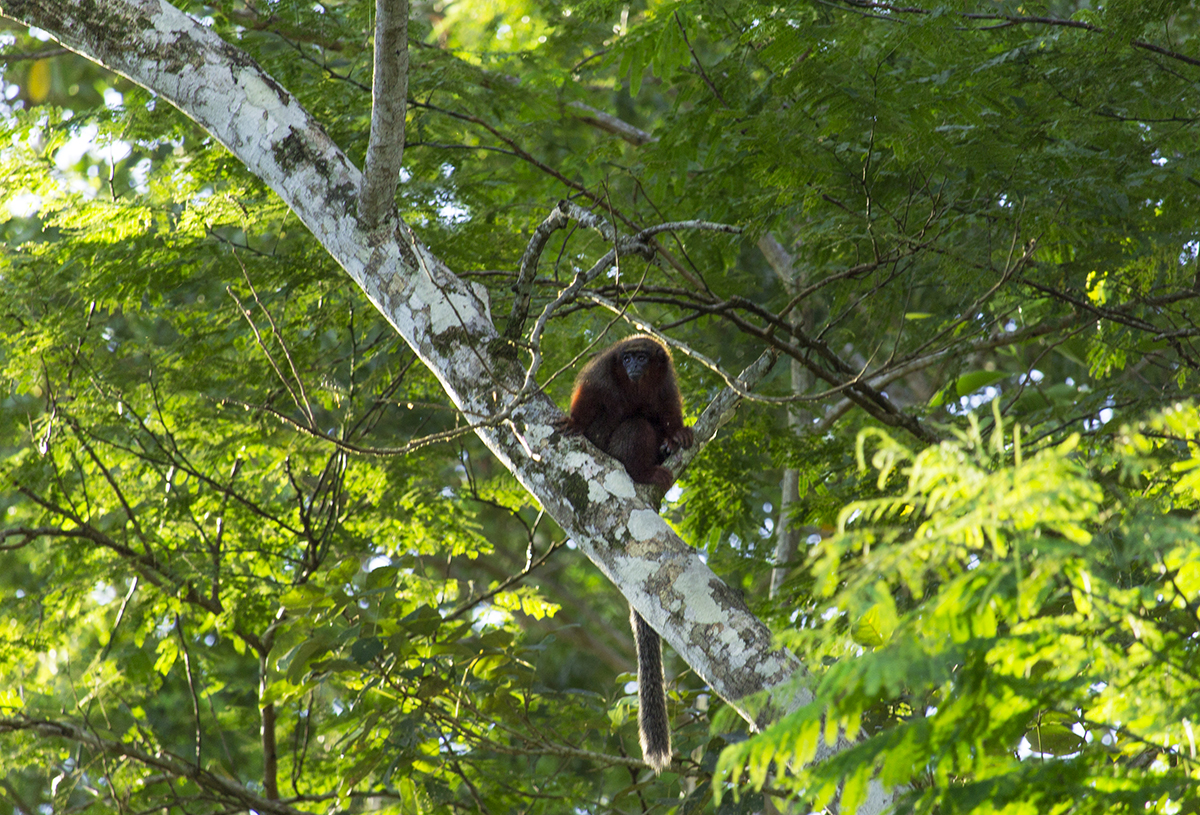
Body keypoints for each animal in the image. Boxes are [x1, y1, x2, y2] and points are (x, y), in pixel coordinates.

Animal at [559, 333, 696, 772]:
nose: (634, 366)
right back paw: (641, 471)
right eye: (628, 358)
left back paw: (666, 449)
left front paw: (678, 433)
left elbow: (667, 410)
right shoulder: (604, 371)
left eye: (643, 358)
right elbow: (588, 397)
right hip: (608, 445)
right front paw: (575, 422)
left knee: (648, 421)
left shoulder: (665, 380)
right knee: (634, 426)